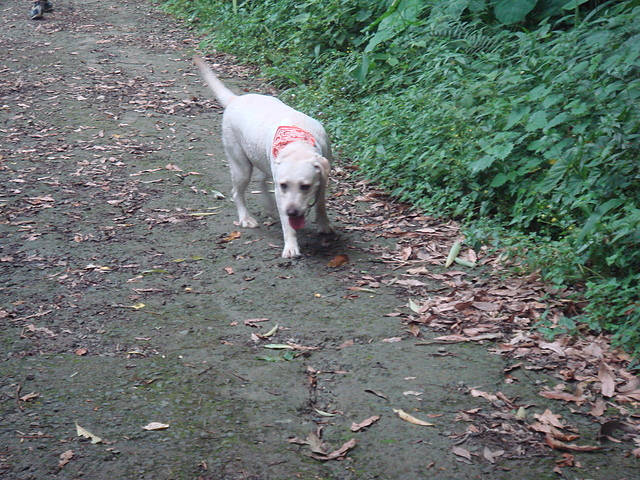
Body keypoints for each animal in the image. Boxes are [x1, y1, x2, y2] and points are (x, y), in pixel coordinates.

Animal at [194, 56, 333, 258]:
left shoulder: (322, 179)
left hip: (264, 159)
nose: (291, 212)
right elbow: (287, 224)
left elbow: (321, 203)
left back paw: (269, 207)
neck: (298, 143)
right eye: (285, 186)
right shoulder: (281, 191)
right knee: (237, 192)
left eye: (305, 186)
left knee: (261, 179)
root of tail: (235, 99)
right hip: (241, 167)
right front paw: (291, 246)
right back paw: (246, 218)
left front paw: (324, 223)